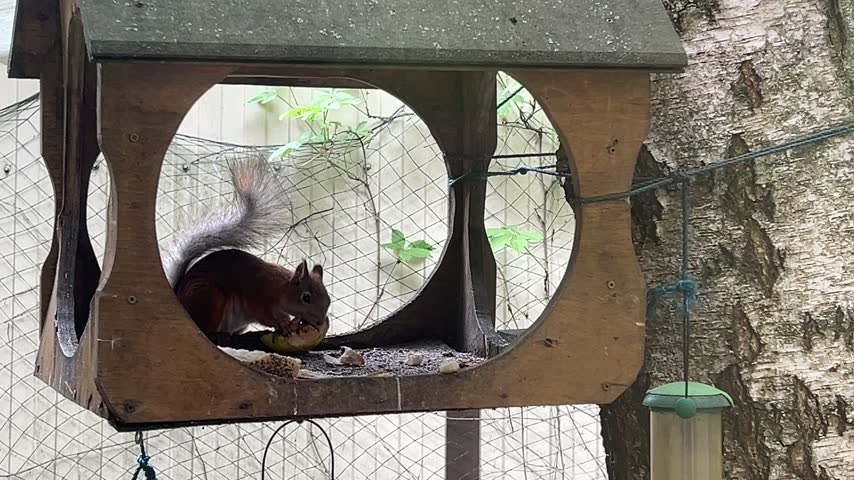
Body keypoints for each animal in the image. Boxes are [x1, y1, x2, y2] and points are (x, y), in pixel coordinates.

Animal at [162, 155, 331, 341]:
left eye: (328, 298)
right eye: (306, 298)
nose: (319, 322)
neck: (280, 288)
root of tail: (180, 300)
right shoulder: (257, 295)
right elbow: (263, 316)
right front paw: (282, 324)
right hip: (210, 296)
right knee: (204, 328)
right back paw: (215, 334)